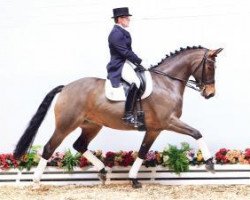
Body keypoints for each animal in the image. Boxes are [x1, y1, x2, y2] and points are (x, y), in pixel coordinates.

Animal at [13, 45, 223, 188]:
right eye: (210, 66)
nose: (210, 94)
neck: (166, 83)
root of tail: (65, 87)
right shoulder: (168, 122)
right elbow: (196, 133)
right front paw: (210, 163)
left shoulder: (155, 129)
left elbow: (143, 152)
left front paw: (133, 179)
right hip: (66, 125)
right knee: (49, 148)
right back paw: (36, 181)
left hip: (91, 125)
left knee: (79, 145)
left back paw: (103, 171)